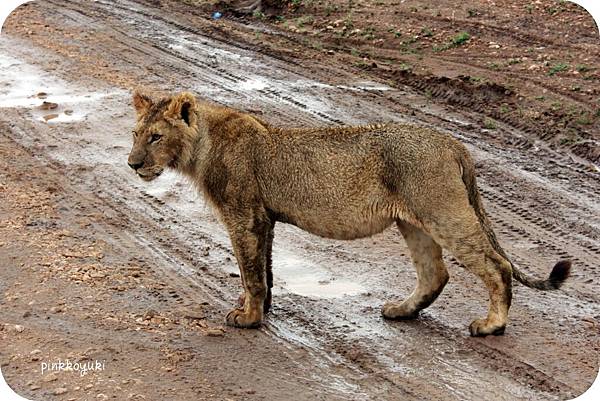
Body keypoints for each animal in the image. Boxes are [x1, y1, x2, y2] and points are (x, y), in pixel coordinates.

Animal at [127, 90, 572, 334]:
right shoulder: (263, 218)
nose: (132, 164)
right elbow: (262, 271)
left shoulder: (244, 216)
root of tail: (453, 144)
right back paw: (401, 311)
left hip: (443, 213)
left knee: (497, 266)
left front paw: (249, 317)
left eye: (156, 137)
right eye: (135, 134)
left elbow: (250, 271)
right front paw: (260, 309)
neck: (201, 143)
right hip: (413, 222)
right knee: (435, 273)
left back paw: (491, 326)